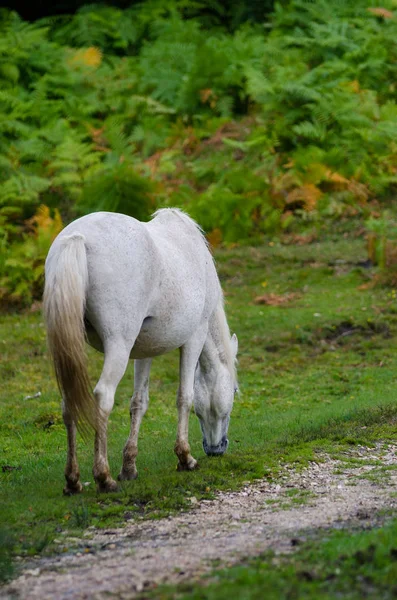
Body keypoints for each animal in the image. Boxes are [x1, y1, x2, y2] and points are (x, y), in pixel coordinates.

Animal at [43, 209, 237, 494]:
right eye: (234, 390)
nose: (216, 449)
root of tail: (78, 237)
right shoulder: (195, 337)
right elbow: (185, 396)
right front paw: (185, 458)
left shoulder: (145, 350)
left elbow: (139, 403)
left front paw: (129, 467)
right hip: (119, 346)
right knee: (103, 397)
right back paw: (104, 477)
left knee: (69, 404)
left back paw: (73, 481)